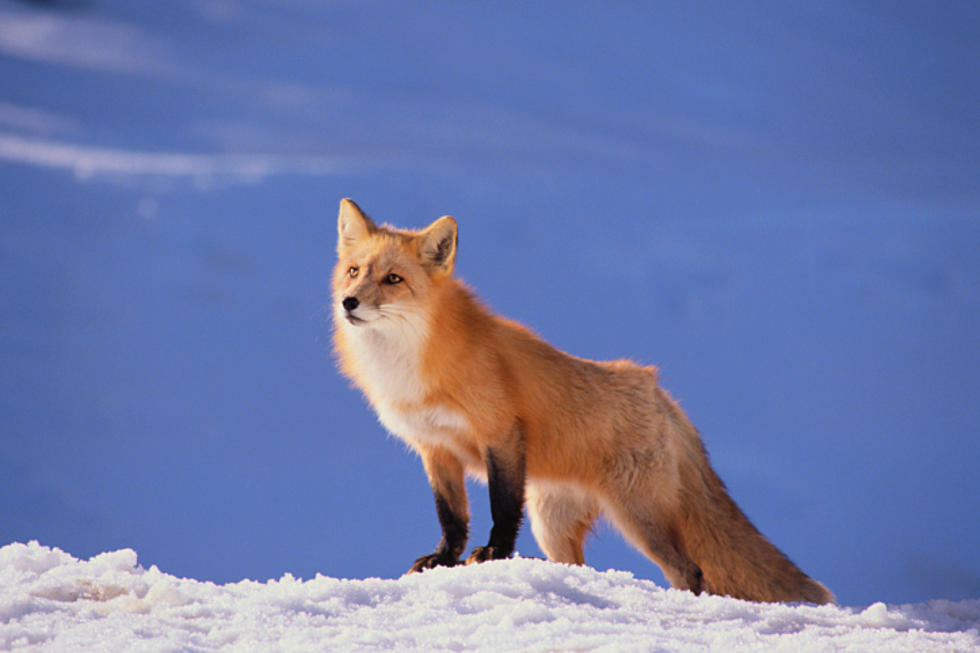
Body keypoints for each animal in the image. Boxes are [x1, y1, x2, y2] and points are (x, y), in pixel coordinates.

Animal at [332, 196, 836, 604]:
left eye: (393, 279)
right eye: (354, 271)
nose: (349, 302)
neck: (410, 366)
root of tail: (658, 390)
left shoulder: (501, 434)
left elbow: (500, 509)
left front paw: (494, 554)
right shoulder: (435, 449)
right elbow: (451, 517)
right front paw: (443, 560)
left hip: (637, 517)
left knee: (691, 570)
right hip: (552, 525)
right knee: (577, 566)